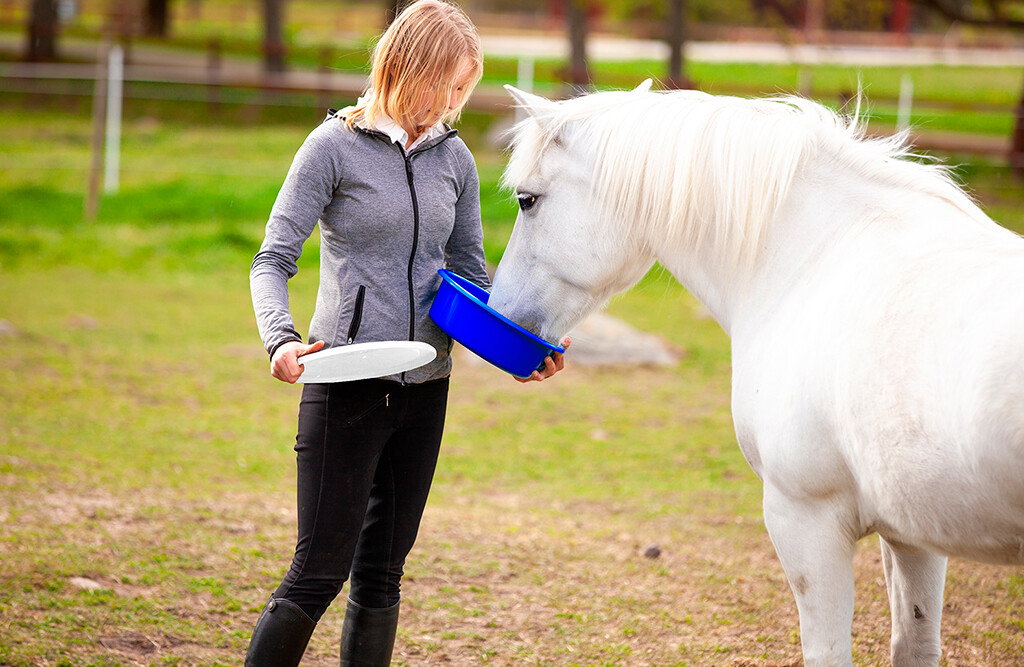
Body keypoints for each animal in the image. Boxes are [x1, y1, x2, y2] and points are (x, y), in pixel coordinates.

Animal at [489, 81, 1024, 666]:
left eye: (527, 199)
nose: (502, 312)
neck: (815, 259)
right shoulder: (914, 534)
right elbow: (914, 643)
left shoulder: (806, 523)